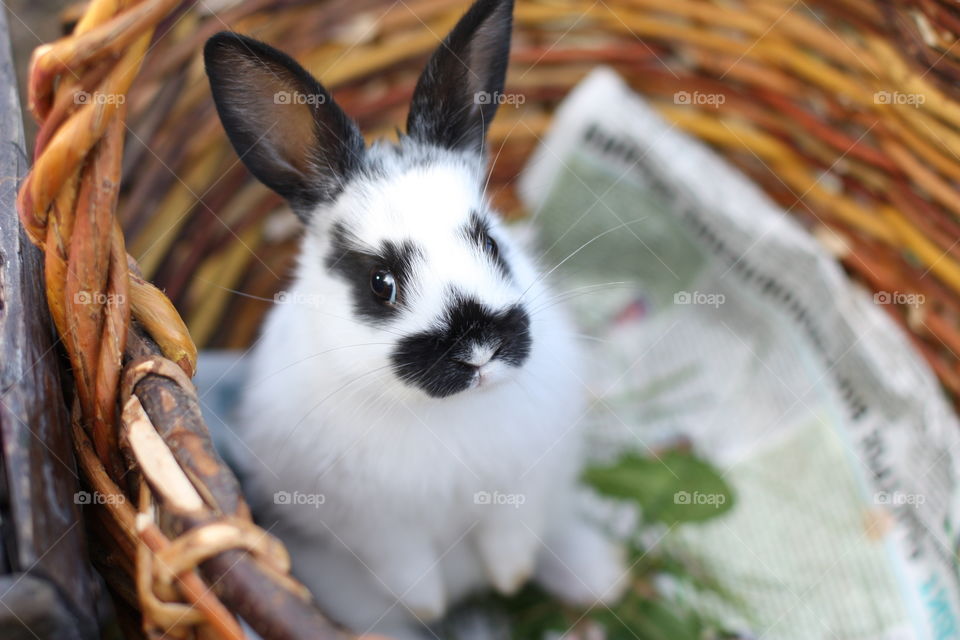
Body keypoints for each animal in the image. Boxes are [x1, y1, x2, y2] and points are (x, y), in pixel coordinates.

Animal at [202, 0, 632, 636]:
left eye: (491, 242)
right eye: (381, 284)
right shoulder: (374, 526)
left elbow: (510, 539)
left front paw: (510, 578)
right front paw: (431, 603)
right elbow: (407, 569)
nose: (478, 351)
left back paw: (602, 577)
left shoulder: (521, 483)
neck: (445, 412)